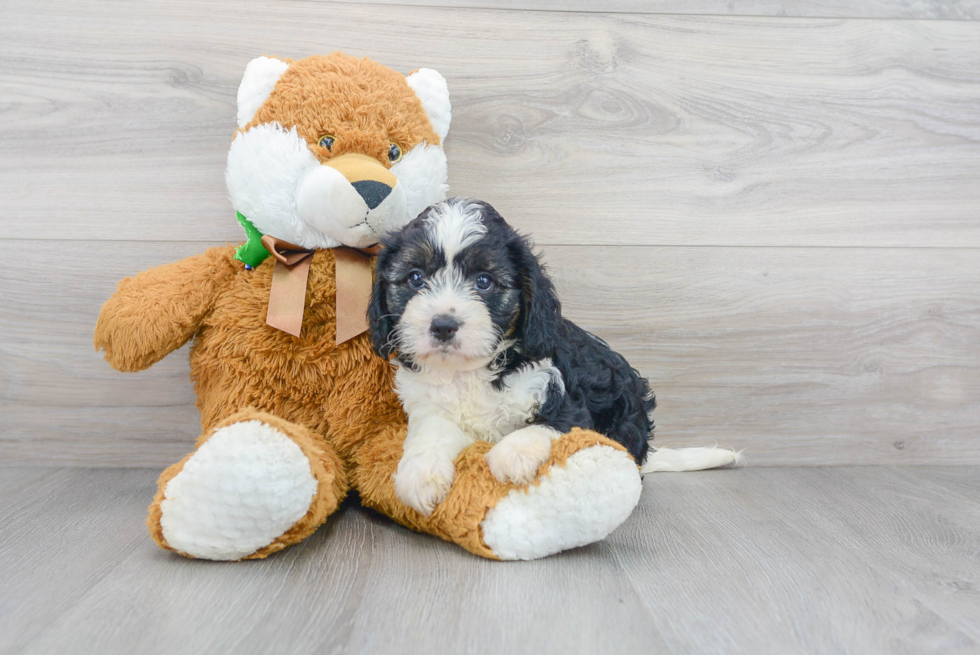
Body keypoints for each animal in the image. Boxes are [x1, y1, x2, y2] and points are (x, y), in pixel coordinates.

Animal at [368, 197, 660, 516]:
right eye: (415, 278)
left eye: (484, 281)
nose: (443, 325)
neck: (468, 372)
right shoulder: (428, 406)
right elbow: (432, 430)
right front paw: (420, 474)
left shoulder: (558, 391)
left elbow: (558, 424)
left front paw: (514, 453)